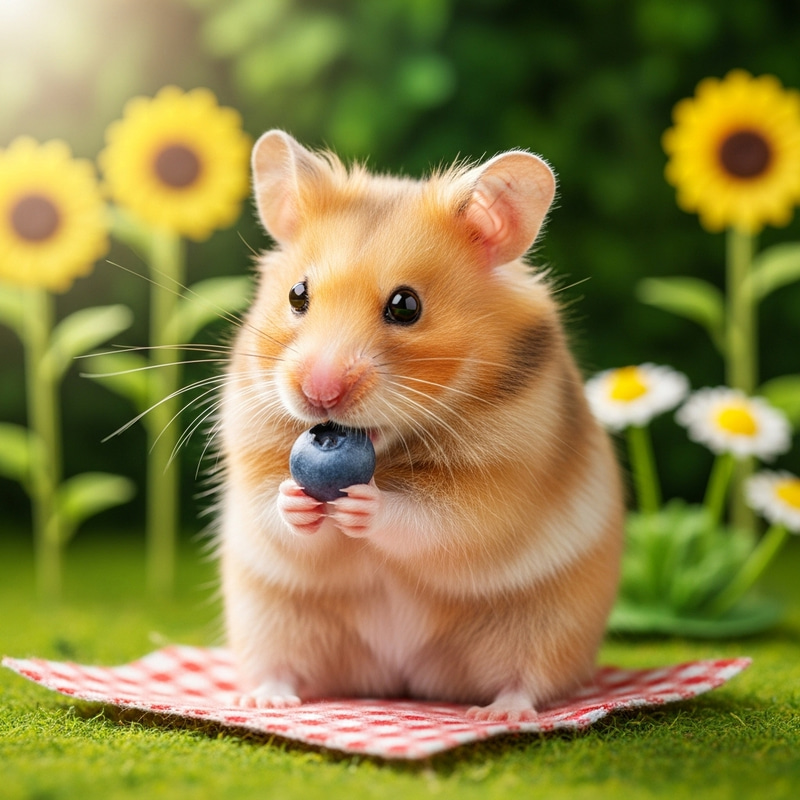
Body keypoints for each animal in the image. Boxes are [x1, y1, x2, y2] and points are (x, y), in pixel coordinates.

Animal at [218, 130, 624, 721]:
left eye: (405, 306)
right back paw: (264, 702)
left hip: (547, 625)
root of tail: (403, 676)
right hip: (271, 619)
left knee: (529, 678)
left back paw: (500, 713)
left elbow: (430, 521)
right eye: (297, 294)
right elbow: (273, 511)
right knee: (280, 666)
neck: (388, 452)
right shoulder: (251, 456)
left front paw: (365, 505)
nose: (319, 394)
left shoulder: (498, 486)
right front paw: (297, 500)